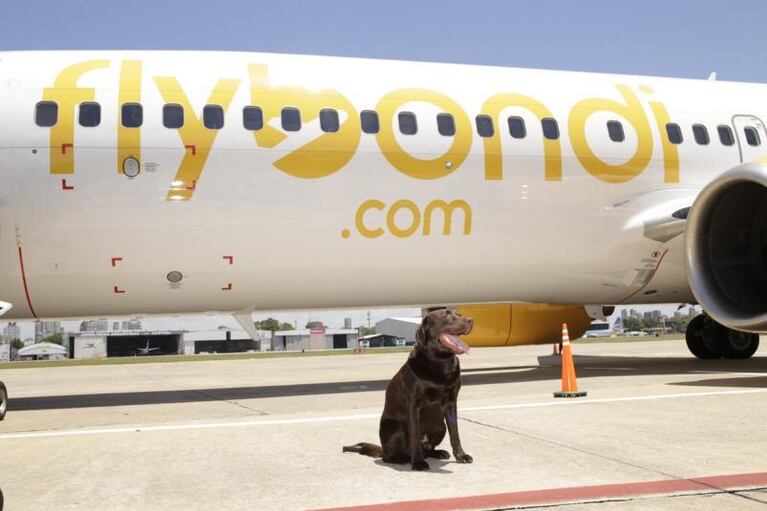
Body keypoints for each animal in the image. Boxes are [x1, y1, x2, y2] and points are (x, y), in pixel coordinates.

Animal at [344, 308, 474, 472]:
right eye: (446, 314)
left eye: (460, 314)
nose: (471, 320)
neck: (441, 362)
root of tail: (383, 449)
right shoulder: (413, 404)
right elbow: (414, 436)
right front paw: (417, 463)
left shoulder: (451, 402)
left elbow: (455, 433)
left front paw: (461, 455)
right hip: (395, 427)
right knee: (389, 457)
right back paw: (403, 458)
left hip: (440, 426)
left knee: (428, 448)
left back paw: (438, 453)